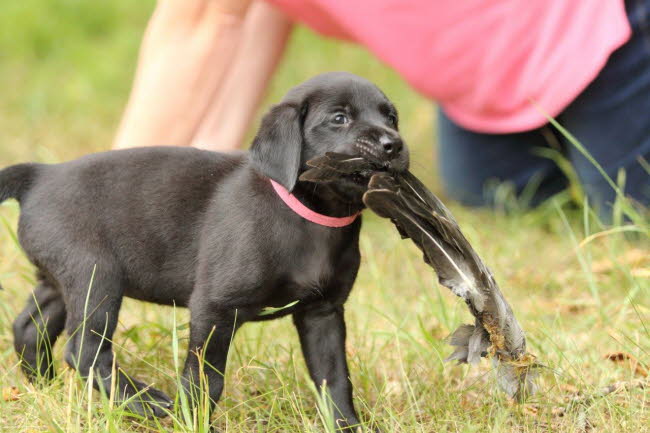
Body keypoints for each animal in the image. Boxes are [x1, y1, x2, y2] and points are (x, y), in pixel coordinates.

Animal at [1, 71, 404, 428]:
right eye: (339, 118)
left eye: (391, 117)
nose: (394, 145)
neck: (306, 217)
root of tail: (42, 174)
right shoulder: (214, 309)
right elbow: (205, 380)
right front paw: (192, 420)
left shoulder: (323, 313)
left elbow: (333, 379)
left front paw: (346, 425)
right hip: (96, 277)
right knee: (84, 350)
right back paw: (142, 401)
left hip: (62, 277)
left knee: (30, 327)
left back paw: (44, 388)